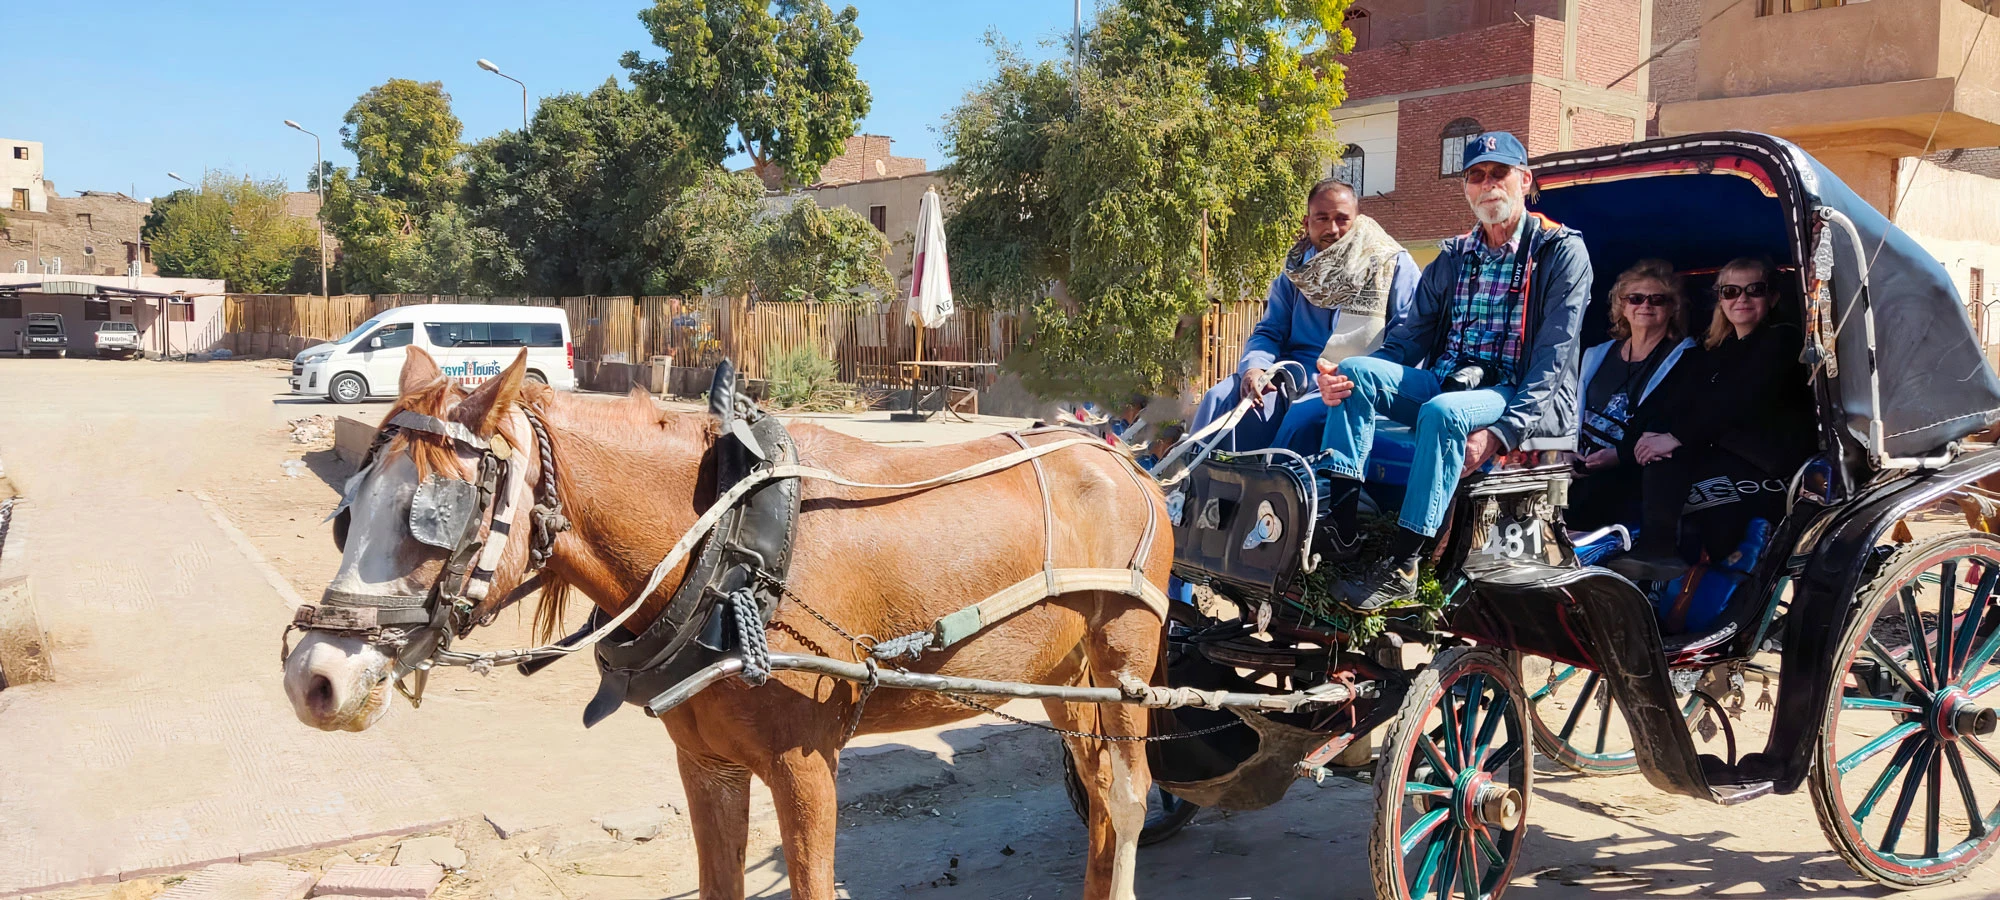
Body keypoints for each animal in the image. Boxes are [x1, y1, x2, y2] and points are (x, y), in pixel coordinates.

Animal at [278, 350, 1168, 900]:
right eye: (346, 512)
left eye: (438, 516)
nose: (314, 677)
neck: (725, 545)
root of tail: (1124, 461)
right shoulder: (706, 763)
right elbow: (721, 882)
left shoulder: (806, 766)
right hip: (1059, 678)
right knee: (1094, 793)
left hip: (1124, 668)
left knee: (1126, 799)